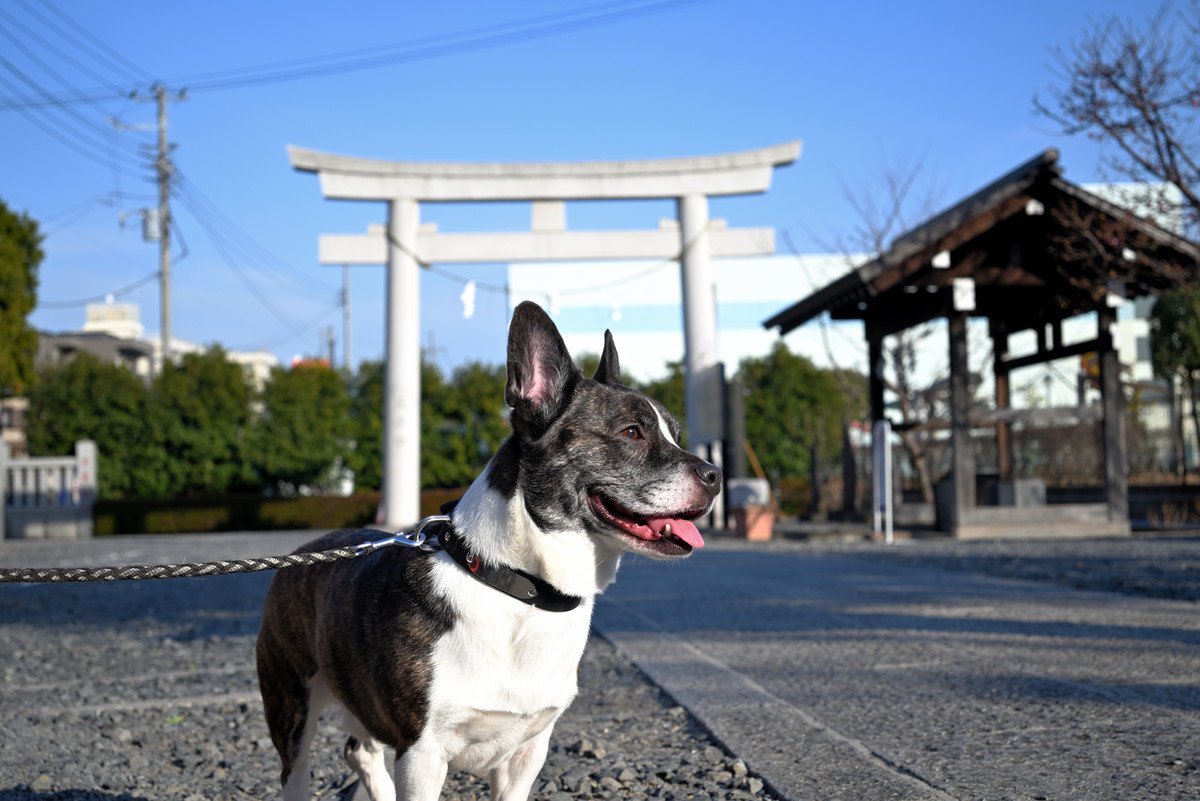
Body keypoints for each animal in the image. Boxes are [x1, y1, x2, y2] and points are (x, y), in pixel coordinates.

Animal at [255, 302, 720, 801]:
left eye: (674, 435)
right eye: (632, 433)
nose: (715, 474)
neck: (518, 584)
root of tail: (305, 552)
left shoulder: (526, 755)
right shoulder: (421, 755)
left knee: (359, 749)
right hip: (292, 706)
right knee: (298, 767)